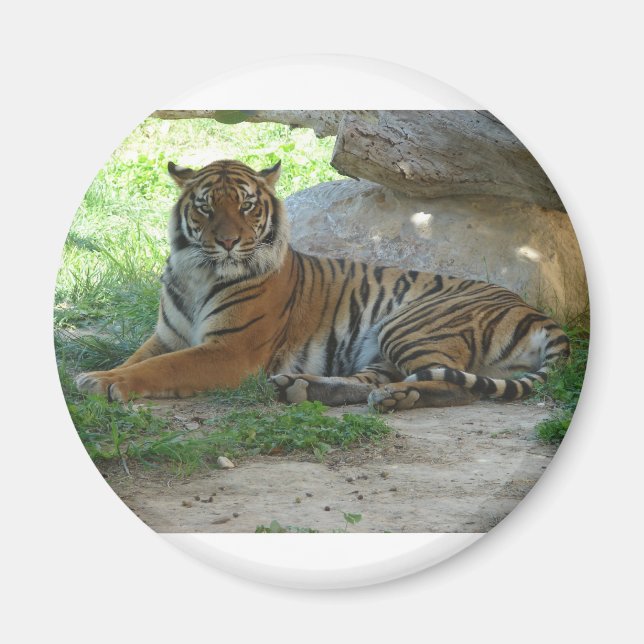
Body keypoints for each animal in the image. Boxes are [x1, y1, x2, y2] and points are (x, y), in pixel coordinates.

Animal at [75, 158, 570, 411]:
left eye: (246, 205)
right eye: (205, 206)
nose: (229, 241)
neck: (199, 270)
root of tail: (536, 312)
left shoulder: (230, 350)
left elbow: (160, 369)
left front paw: (101, 382)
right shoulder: (167, 336)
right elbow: (137, 359)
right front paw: (100, 375)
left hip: (409, 324)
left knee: (458, 386)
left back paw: (392, 397)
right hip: (379, 347)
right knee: (374, 379)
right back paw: (303, 388)